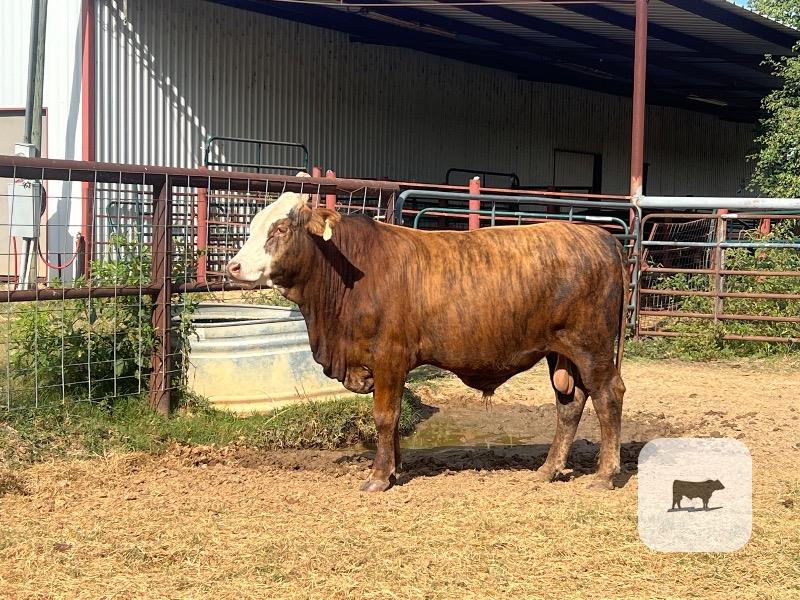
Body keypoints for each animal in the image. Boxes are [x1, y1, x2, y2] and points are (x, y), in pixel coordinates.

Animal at [227, 175, 628, 492]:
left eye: (280, 229)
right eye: (253, 226)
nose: (234, 266)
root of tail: (601, 238)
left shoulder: (389, 357)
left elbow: (384, 416)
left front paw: (378, 477)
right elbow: (393, 419)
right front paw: (393, 469)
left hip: (591, 345)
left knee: (607, 395)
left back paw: (604, 475)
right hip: (560, 351)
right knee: (570, 404)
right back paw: (548, 469)